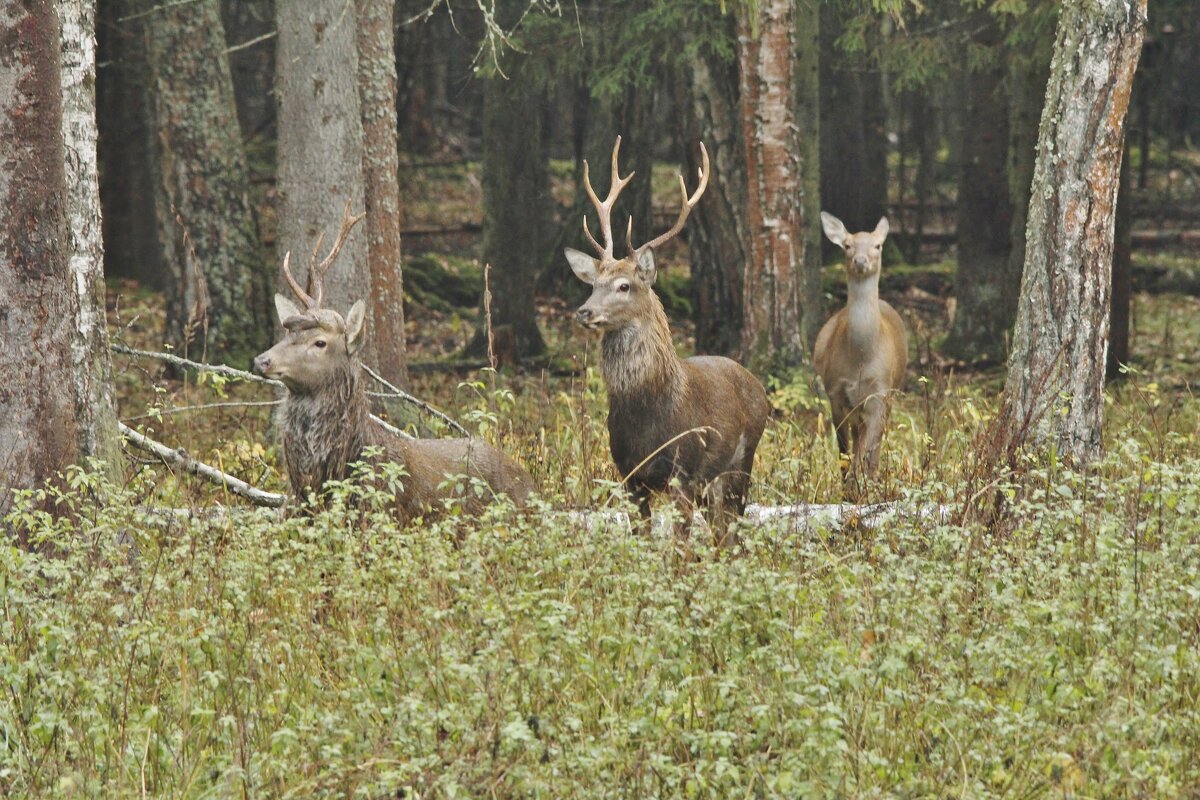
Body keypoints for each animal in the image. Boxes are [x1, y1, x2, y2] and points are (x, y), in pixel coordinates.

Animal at [561, 137, 768, 537]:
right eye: (593, 284)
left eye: (624, 285)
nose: (584, 312)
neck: (646, 414)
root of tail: (757, 385)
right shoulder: (630, 475)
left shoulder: (681, 471)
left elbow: (680, 543)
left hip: (743, 459)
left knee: (733, 526)